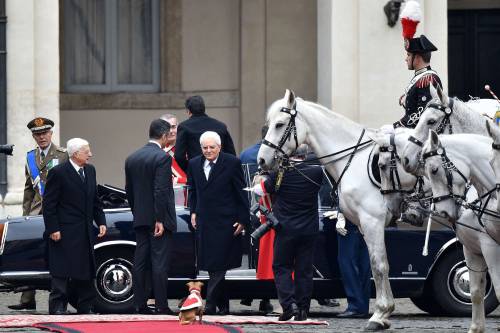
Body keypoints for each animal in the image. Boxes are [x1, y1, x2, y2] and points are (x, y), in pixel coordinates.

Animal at [258, 90, 390, 330]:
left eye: (279, 124)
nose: (261, 159)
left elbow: (379, 265)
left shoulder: (373, 220)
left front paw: (380, 314)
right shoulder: (365, 224)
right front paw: (383, 314)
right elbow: (375, 266)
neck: (353, 158)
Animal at [422, 131, 500, 330]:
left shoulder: (491, 247)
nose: (442, 212)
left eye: (434, 170)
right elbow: (476, 292)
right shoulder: (471, 249)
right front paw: (475, 328)